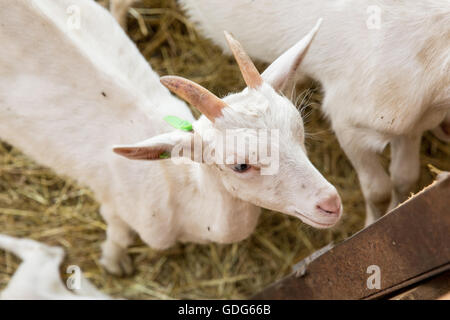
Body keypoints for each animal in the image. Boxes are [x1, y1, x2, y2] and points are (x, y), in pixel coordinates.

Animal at [179, 0, 450, 225]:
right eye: (241, 165)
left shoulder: (410, 122)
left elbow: (404, 177)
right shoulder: (348, 123)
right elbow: (378, 190)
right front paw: (373, 223)